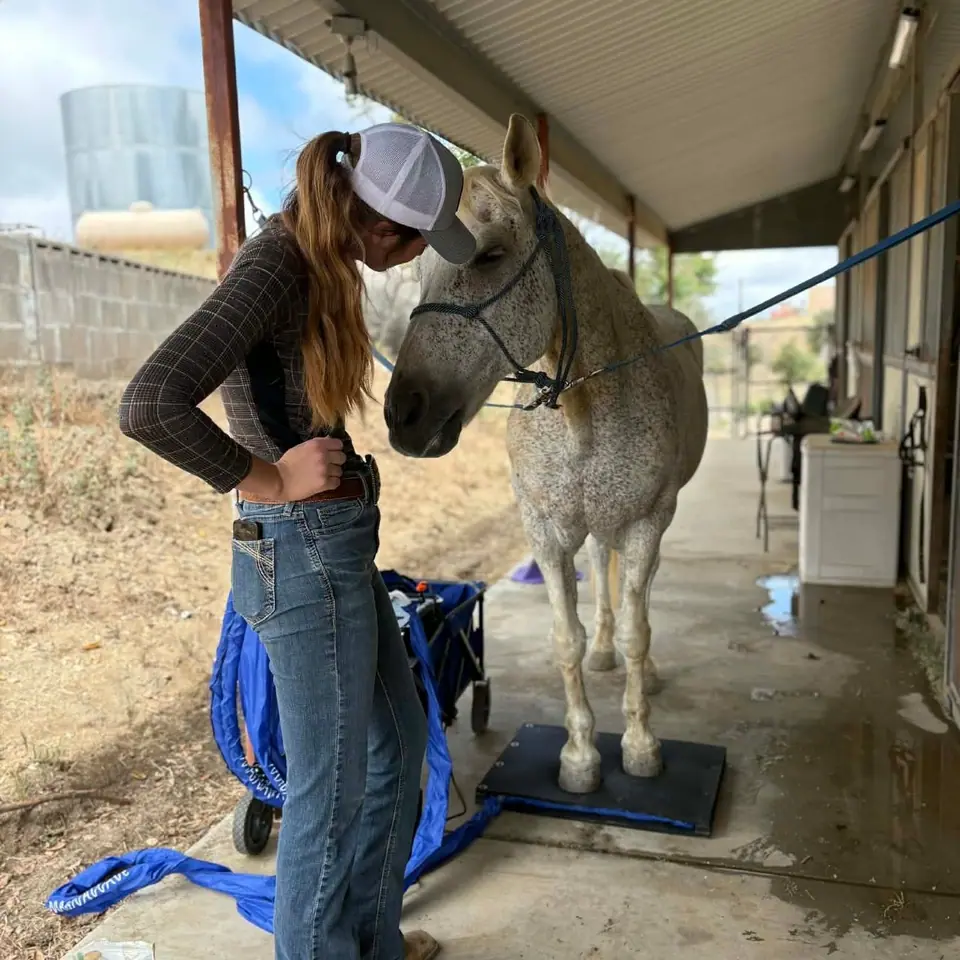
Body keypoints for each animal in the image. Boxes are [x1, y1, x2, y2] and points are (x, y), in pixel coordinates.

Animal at [384, 114, 708, 794]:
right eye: (420, 272)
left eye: (491, 254)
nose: (404, 416)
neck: (585, 408)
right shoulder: (547, 529)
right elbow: (567, 639)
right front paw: (580, 756)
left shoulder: (646, 522)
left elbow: (640, 629)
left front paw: (640, 745)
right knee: (603, 575)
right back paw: (605, 652)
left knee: (635, 594)